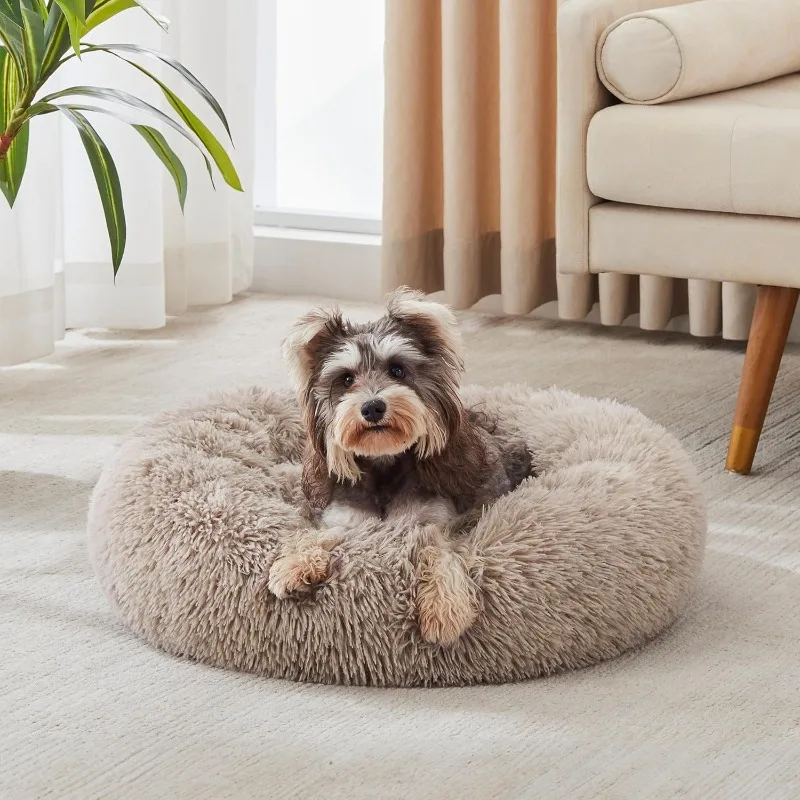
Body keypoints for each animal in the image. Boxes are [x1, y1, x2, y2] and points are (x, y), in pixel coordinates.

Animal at [268, 288, 532, 644]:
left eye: (397, 370)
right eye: (346, 379)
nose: (372, 407)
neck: (383, 463)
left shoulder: (436, 524)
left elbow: (438, 553)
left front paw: (444, 608)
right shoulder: (345, 520)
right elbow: (318, 534)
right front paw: (294, 563)